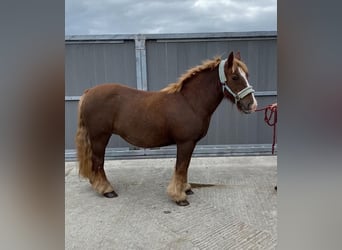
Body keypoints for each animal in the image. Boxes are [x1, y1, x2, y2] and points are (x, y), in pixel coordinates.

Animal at [75, 50, 256, 205]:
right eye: (235, 77)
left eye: (246, 75)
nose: (252, 105)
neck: (190, 102)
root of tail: (88, 92)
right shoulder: (185, 142)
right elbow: (181, 167)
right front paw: (179, 197)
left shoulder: (190, 144)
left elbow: (185, 166)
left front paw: (186, 189)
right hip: (100, 137)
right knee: (98, 162)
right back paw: (107, 190)